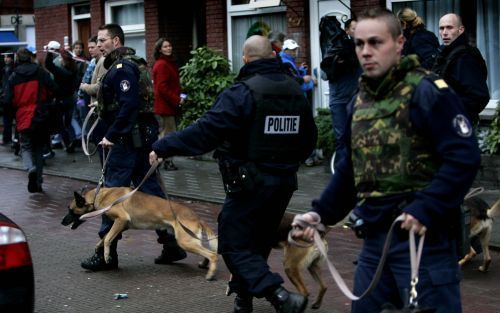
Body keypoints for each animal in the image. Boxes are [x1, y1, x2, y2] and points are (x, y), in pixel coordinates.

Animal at [61, 186, 218, 280]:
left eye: (70, 210)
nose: (62, 222)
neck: (99, 195)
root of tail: (197, 217)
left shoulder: (121, 220)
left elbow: (107, 239)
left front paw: (106, 256)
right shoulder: (122, 225)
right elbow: (106, 237)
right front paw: (99, 248)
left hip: (185, 242)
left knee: (212, 254)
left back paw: (210, 273)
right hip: (190, 241)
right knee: (208, 252)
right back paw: (205, 264)